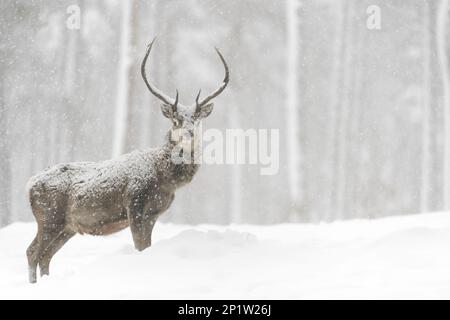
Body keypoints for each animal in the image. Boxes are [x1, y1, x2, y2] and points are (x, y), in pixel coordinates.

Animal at [25, 38, 229, 284]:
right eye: (175, 120)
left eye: (197, 119)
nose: (189, 133)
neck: (165, 179)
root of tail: (29, 185)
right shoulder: (134, 203)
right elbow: (139, 247)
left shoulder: (154, 212)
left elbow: (146, 246)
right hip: (49, 217)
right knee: (32, 251)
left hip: (67, 226)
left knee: (46, 255)